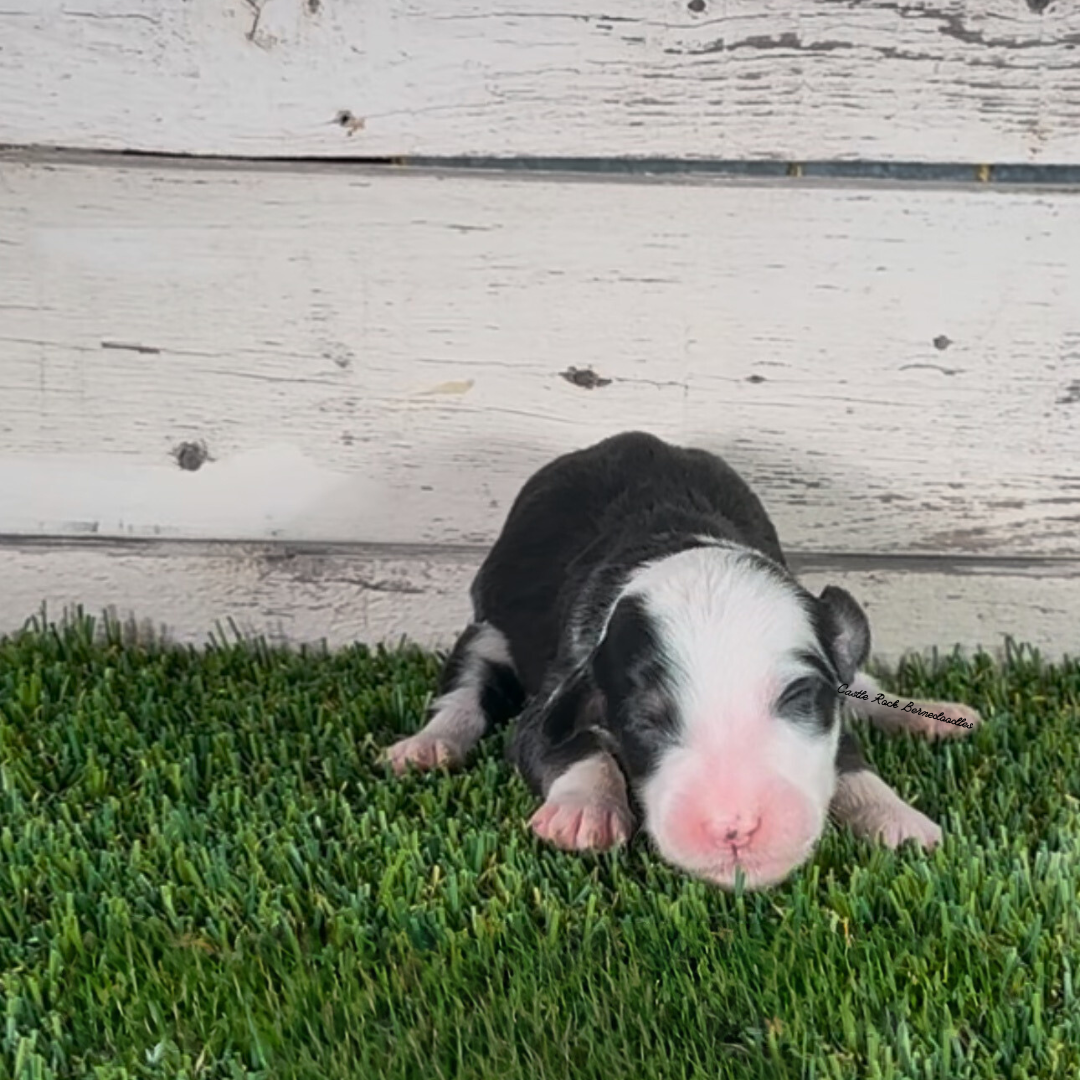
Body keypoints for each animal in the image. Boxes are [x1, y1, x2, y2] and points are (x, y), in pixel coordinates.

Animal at [384, 434, 984, 889]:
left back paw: (934, 715)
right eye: (645, 722)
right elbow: (559, 743)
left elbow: (850, 756)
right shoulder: (560, 684)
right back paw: (427, 746)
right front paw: (584, 811)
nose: (734, 827)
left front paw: (901, 821)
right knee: (465, 688)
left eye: (798, 698)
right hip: (486, 627)